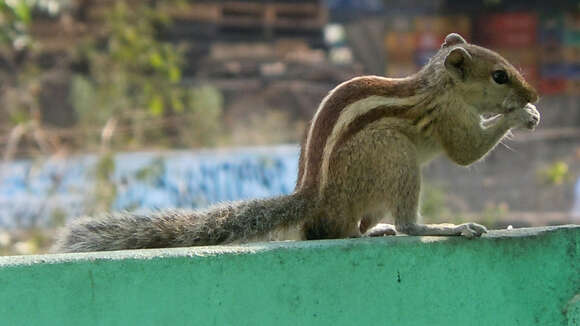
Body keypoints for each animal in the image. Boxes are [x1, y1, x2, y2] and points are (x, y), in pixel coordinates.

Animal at [53, 32, 540, 252]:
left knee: (337, 231)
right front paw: (519, 115)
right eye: (499, 76)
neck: (437, 85)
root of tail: (312, 197)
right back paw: (444, 226)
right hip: (393, 154)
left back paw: (372, 229)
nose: (534, 94)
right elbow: (465, 154)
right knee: (403, 225)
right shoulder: (450, 119)